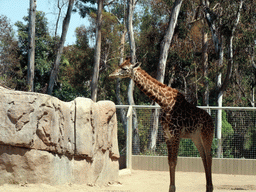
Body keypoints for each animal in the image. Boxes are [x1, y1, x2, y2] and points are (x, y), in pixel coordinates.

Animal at [108, 57, 214, 192]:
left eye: (124, 68)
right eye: (120, 65)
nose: (111, 75)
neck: (164, 103)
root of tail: (211, 120)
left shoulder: (176, 134)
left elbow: (174, 160)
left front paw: (173, 188)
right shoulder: (167, 135)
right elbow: (169, 161)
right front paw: (171, 188)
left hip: (206, 135)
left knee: (209, 156)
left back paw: (210, 187)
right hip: (196, 137)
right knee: (204, 156)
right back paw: (207, 186)